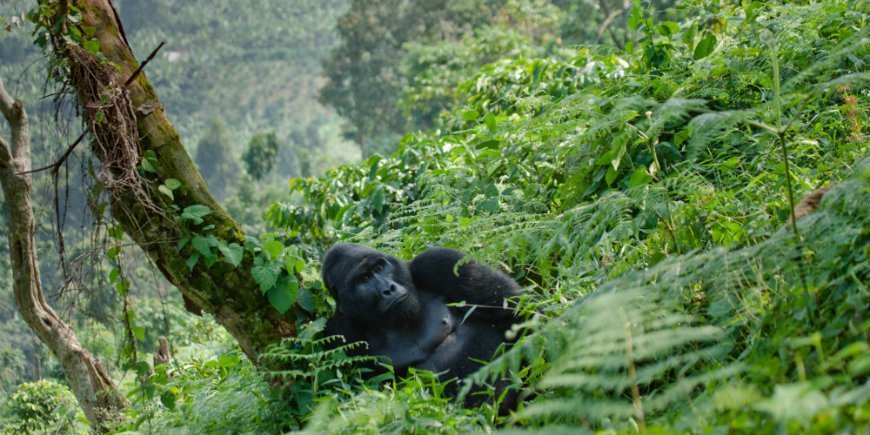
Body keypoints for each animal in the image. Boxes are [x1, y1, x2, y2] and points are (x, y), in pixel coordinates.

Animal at [322, 245, 520, 392]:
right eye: (364, 279)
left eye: (379, 267)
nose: (389, 289)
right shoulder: (340, 329)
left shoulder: (437, 262)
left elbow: (512, 309)